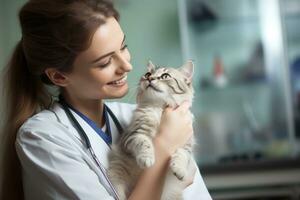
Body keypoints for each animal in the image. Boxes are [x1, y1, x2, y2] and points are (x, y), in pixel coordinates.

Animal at [107, 61, 195, 200]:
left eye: (165, 76)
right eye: (148, 74)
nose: (150, 78)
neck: (159, 108)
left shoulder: (187, 144)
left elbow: (182, 155)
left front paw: (179, 170)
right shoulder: (133, 134)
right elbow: (145, 143)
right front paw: (147, 159)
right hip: (116, 173)